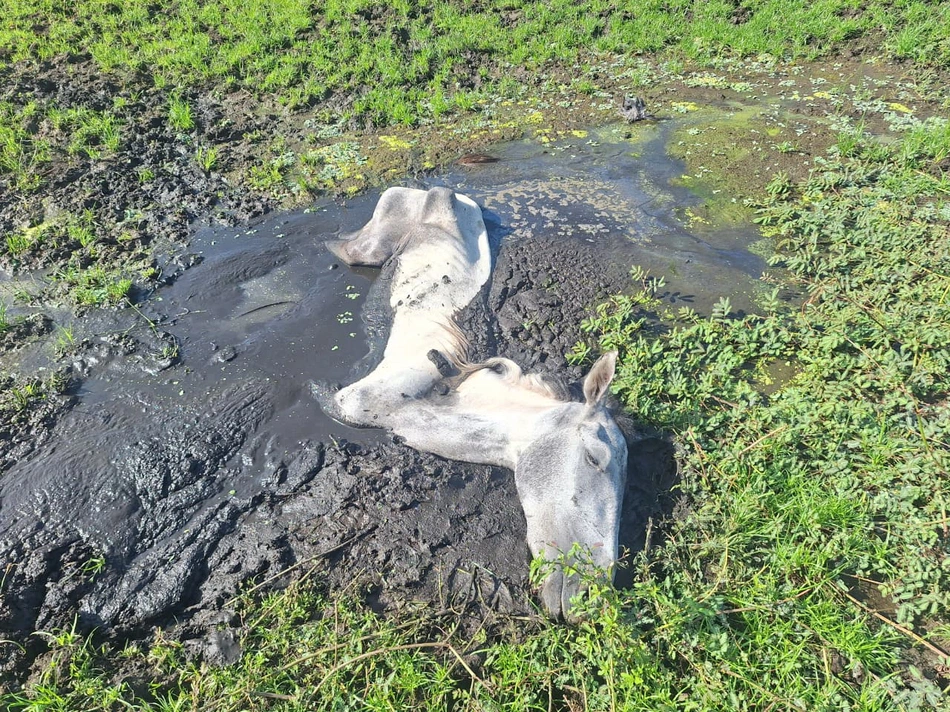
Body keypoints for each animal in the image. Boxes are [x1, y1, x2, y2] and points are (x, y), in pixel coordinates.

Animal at [322, 186, 628, 621]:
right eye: (593, 458)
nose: (593, 597)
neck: (444, 392)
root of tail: (433, 189)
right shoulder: (350, 401)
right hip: (379, 235)